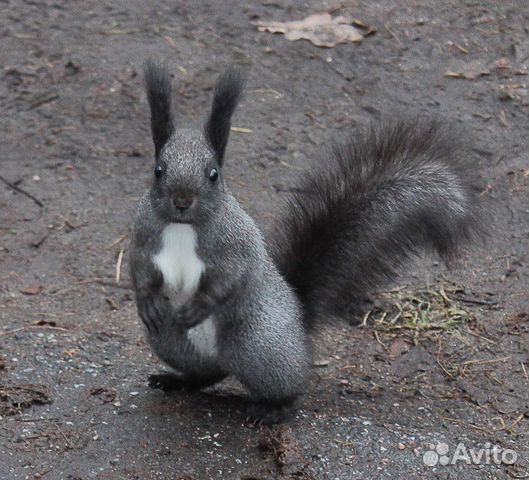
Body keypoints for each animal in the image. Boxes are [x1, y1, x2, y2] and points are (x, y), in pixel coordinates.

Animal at [130, 60, 480, 424]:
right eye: (158, 170)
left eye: (213, 174)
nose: (182, 200)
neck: (182, 227)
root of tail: (299, 322)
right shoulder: (143, 235)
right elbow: (139, 267)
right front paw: (146, 301)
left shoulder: (236, 245)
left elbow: (231, 277)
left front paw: (198, 306)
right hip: (170, 339)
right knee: (206, 373)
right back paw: (179, 379)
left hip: (258, 342)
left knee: (290, 384)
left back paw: (274, 407)